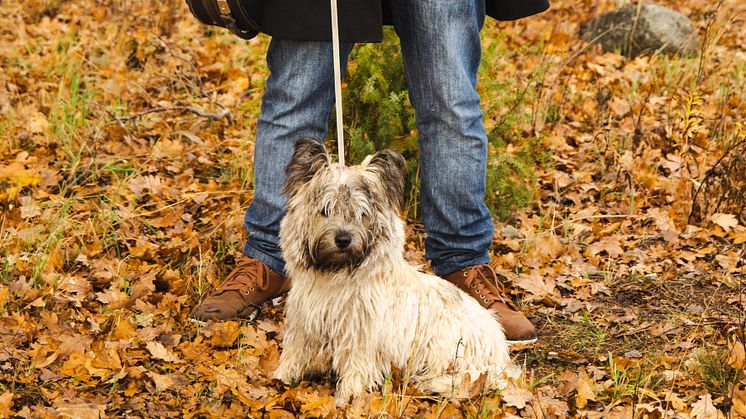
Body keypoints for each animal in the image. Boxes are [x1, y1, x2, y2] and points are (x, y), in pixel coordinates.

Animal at [274, 138, 512, 406]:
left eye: (362, 214)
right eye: (326, 210)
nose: (343, 240)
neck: (336, 275)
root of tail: (500, 353)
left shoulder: (361, 335)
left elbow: (355, 367)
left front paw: (346, 399)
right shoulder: (303, 320)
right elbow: (295, 351)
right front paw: (282, 377)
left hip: (444, 344)